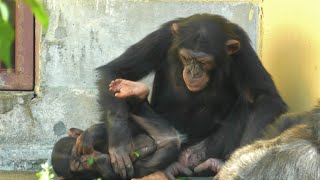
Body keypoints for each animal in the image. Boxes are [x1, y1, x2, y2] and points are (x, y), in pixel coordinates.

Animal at [76, 13, 286, 179]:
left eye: (204, 62)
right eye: (186, 57)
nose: (193, 71)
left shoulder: (243, 51)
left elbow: (266, 97)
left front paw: (243, 157)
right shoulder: (162, 37)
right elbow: (117, 70)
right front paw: (119, 143)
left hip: (205, 149)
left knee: (248, 103)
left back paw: (216, 163)